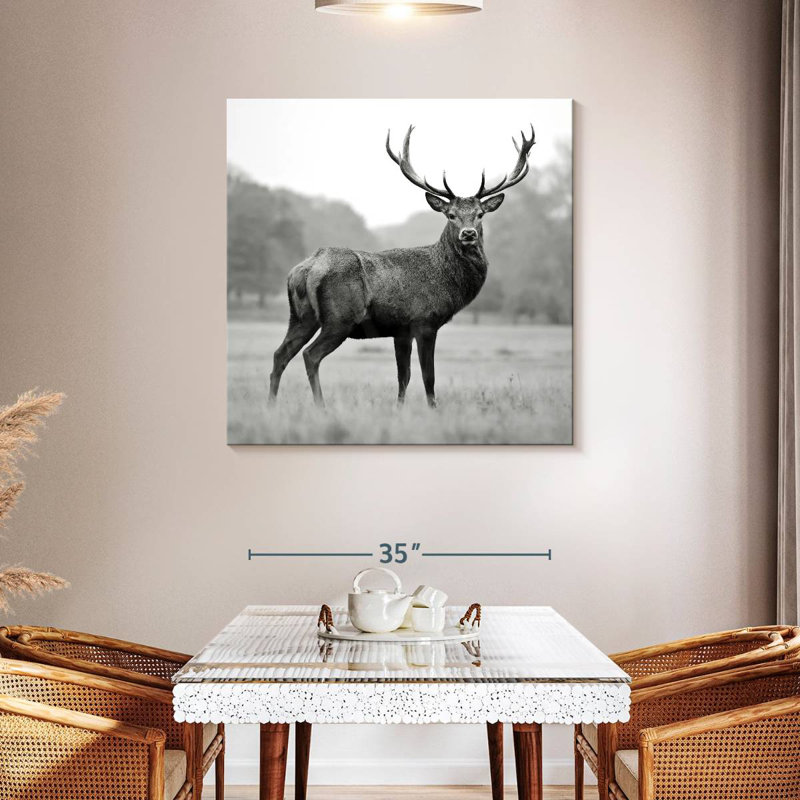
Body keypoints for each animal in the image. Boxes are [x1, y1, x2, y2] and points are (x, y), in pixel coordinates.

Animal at [268, 123, 535, 408]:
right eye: (450, 215)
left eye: (480, 214)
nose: (469, 234)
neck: (446, 280)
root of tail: (307, 268)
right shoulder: (425, 321)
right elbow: (428, 377)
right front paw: (433, 409)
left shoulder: (401, 330)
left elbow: (403, 377)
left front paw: (399, 409)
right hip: (340, 318)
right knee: (310, 355)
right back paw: (321, 407)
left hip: (301, 316)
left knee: (280, 354)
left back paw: (271, 405)